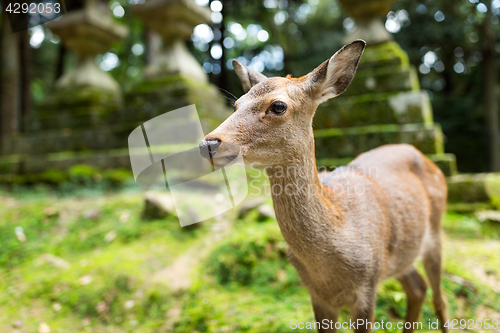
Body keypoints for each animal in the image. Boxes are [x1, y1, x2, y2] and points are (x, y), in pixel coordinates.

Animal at [198, 39, 450, 332]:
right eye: (236, 104)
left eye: (278, 106)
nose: (209, 143)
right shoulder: (317, 295)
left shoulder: (367, 286)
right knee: (418, 288)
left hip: (435, 232)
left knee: (439, 298)